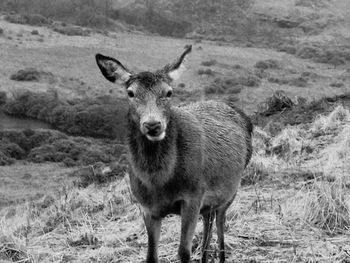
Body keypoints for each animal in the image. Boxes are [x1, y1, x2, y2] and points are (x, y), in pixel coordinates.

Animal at [95, 46, 253, 263]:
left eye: (169, 92)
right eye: (130, 92)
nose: (153, 125)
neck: (160, 182)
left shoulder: (193, 196)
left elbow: (184, 252)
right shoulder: (147, 207)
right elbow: (151, 256)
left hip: (230, 191)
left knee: (220, 224)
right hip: (209, 202)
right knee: (208, 223)